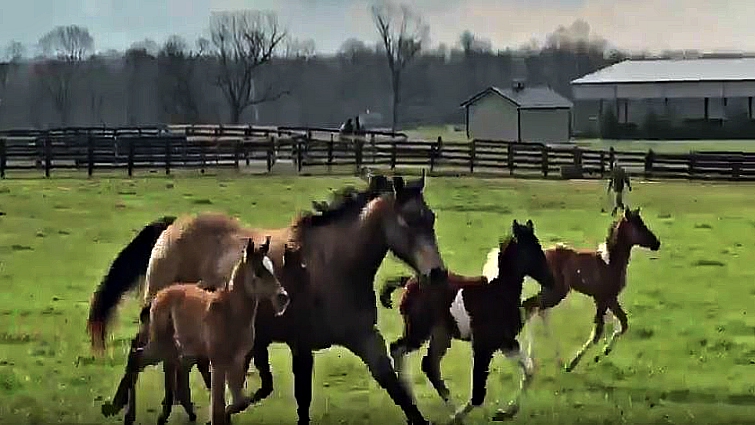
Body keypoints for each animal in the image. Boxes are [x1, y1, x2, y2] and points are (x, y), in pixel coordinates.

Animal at [122, 236, 290, 425]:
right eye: (258, 272)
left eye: (273, 270)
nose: (283, 297)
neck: (230, 312)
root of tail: (159, 295)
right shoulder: (217, 361)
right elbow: (218, 407)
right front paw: (216, 416)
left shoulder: (236, 360)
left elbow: (239, 402)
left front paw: (225, 413)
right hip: (161, 344)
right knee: (137, 359)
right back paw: (130, 416)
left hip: (181, 348)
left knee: (177, 368)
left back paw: (177, 414)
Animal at [379, 219, 556, 423]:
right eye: (531, 250)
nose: (551, 280)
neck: (498, 294)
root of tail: (411, 282)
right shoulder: (482, 346)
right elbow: (478, 393)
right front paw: (474, 414)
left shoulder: (506, 343)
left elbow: (529, 370)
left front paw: (506, 412)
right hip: (418, 331)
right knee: (397, 349)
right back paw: (428, 407)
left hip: (441, 335)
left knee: (429, 365)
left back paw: (443, 410)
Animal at [521, 207, 661, 372]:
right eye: (638, 226)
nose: (657, 243)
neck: (610, 262)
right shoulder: (604, 298)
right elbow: (598, 333)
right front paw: (574, 363)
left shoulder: (609, 299)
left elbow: (622, 323)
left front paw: (604, 352)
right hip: (556, 293)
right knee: (531, 307)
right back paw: (532, 363)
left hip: (551, 292)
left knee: (537, 310)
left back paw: (553, 360)